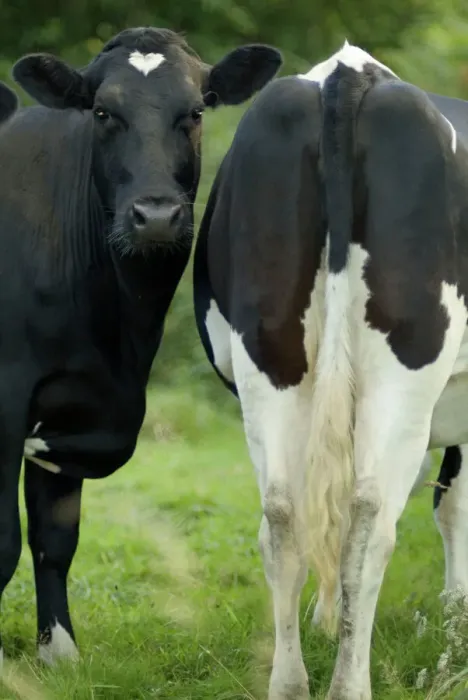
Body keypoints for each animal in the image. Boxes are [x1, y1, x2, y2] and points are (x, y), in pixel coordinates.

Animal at [0, 26, 282, 667]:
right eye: (104, 113)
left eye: (195, 112)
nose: (155, 215)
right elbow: (1, 543)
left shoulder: (70, 406)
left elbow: (55, 538)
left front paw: (59, 656)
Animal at [193, 40, 468, 700]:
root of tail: (349, 73)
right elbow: (453, 504)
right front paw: (458, 619)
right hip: (406, 365)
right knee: (370, 524)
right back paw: (349, 683)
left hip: (269, 355)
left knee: (285, 516)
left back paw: (290, 681)